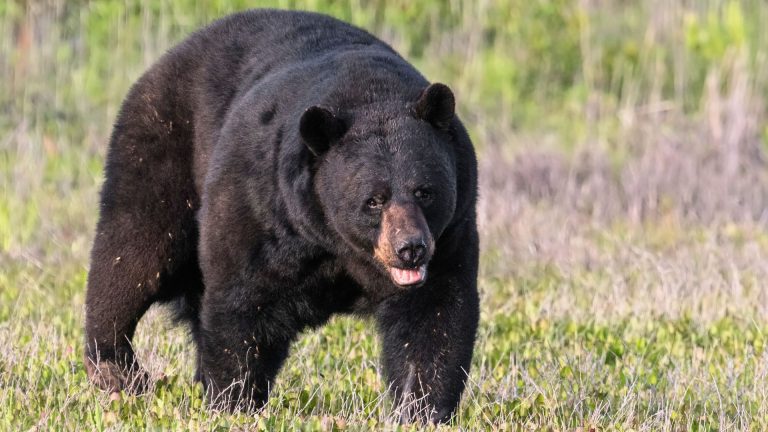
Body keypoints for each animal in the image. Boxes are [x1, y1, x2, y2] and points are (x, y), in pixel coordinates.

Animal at [84, 9, 479, 424]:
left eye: (425, 191)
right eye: (374, 200)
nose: (410, 249)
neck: (335, 241)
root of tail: (169, 56)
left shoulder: (452, 233)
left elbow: (434, 316)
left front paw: (422, 410)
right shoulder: (264, 206)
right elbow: (242, 301)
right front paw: (234, 402)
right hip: (162, 150)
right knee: (133, 251)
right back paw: (116, 370)